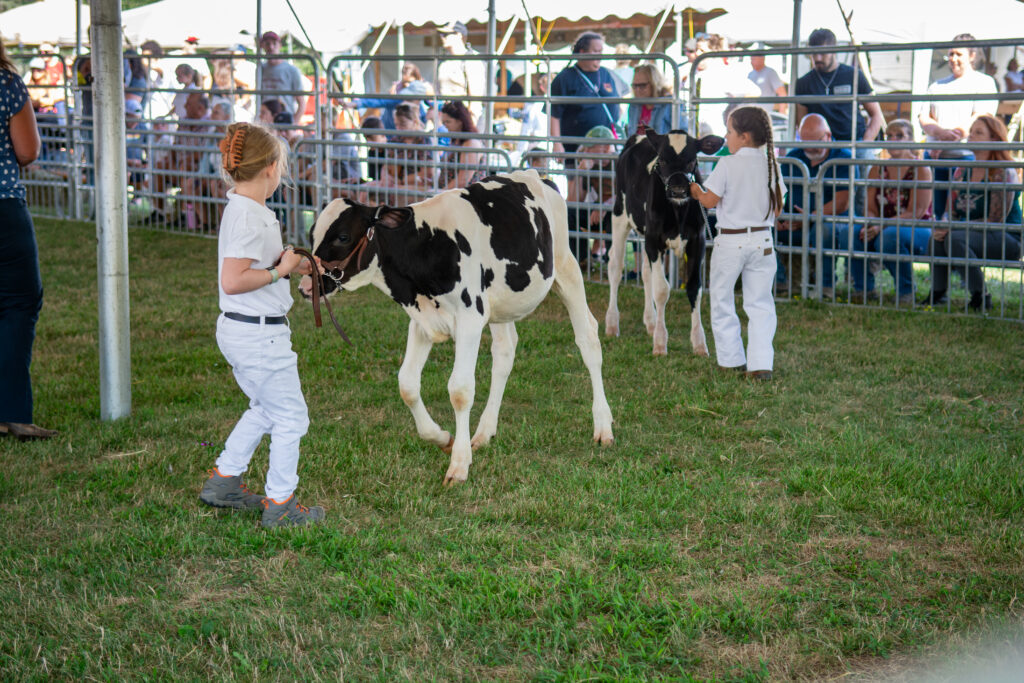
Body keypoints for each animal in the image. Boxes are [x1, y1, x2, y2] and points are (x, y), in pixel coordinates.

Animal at [302, 169, 614, 485]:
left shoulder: (470, 318)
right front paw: (442, 438)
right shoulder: (422, 319)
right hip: (500, 306)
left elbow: (460, 390)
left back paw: (603, 426)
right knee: (505, 352)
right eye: (312, 233)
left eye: (343, 236)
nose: (306, 286)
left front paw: (459, 464)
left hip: (566, 267)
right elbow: (407, 385)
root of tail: (532, 174)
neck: (427, 246)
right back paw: (484, 431)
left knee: (588, 339)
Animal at [605, 129, 723, 356]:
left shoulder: (697, 241)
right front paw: (660, 343)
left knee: (645, 272)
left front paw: (699, 343)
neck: (677, 210)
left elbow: (694, 288)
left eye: (692, 160)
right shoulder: (655, 240)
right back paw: (612, 324)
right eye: (662, 160)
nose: (678, 190)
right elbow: (661, 290)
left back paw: (650, 322)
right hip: (620, 215)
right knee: (615, 267)